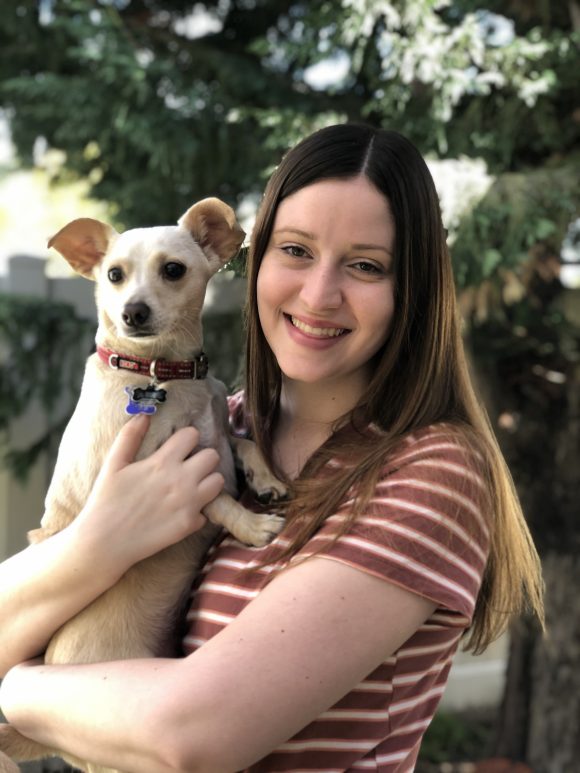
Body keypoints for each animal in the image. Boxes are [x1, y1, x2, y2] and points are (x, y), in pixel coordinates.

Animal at [0, 201, 286, 772]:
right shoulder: (153, 467)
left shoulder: (218, 427)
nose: (132, 311)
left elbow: (241, 442)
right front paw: (252, 524)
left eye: (172, 270)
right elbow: (216, 497)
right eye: (113, 275)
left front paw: (264, 475)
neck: (165, 375)